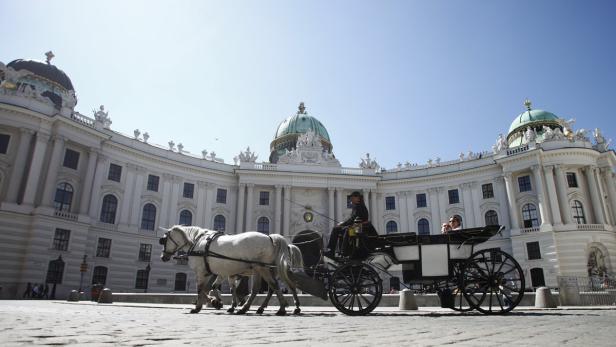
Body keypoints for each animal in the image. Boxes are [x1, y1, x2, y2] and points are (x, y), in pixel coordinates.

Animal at [159, 226, 294, 316]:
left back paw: (280, 308)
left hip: (261, 268)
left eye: (164, 240)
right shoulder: (219, 273)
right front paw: (218, 302)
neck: (198, 242)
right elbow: (213, 288)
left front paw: (202, 305)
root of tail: (269, 237)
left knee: (270, 286)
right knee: (265, 288)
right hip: (261, 269)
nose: (162, 257)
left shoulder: (201, 272)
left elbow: (201, 289)